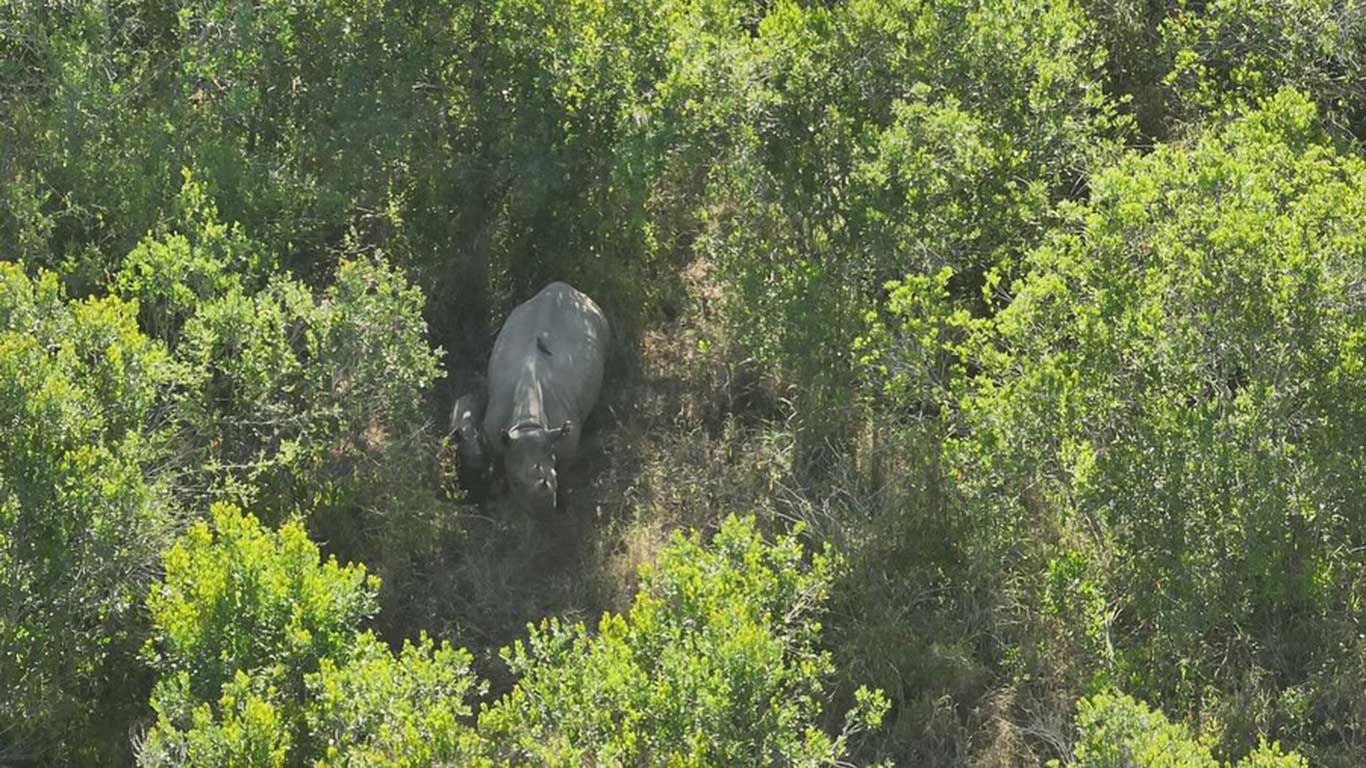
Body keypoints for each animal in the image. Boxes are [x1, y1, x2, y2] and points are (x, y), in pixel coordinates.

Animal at [483, 282, 609, 512]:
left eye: (554, 477)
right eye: (516, 483)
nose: (542, 513)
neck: (527, 425)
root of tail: (566, 287)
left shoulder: (566, 444)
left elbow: (566, 470)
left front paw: (564, 502)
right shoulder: (494, 437)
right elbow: (498, 463)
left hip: (598, 319)